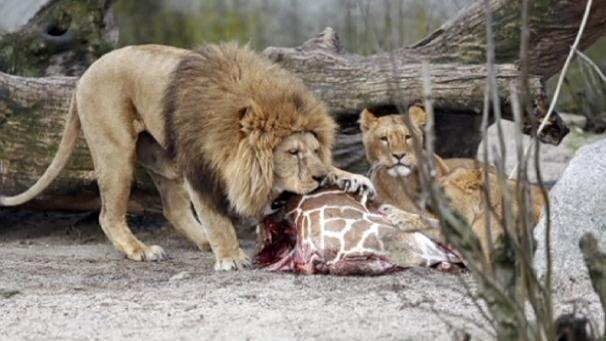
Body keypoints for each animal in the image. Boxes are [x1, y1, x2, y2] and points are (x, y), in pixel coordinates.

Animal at [1, 42, 376, 270]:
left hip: (163, 159)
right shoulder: (200, 166)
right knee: (109, 214)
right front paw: (230, 255)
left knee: (173, 208)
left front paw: (351, 179)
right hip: (116, 151)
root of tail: (82, 77)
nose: (318, 177)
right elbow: (215, 215)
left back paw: (202, 241)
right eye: (293, 152)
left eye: (314, 150)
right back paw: (141, 250)